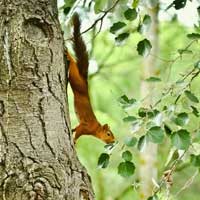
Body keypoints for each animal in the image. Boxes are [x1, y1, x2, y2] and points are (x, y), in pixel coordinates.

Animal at [66, 12, 115, 144]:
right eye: (108, 134)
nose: (114, 141)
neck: (96, 128)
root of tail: (84, 80)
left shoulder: (81, 125)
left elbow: (76, 128)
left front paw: (72, 130)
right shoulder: (85, 127)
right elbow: (78, 133)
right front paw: (74, 141)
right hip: (76, 79)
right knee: (72, 63)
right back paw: (67, 53)